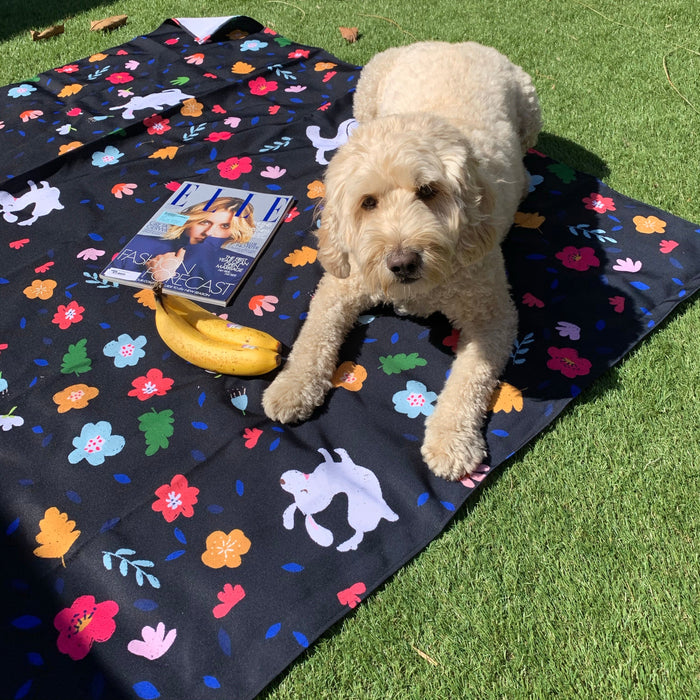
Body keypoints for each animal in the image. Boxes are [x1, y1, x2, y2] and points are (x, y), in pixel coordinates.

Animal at [262, 42, 540, 482]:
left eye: (428, 191)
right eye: (367, 202)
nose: (403, 261)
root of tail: (451, 43)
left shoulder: (493, 314)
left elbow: (470, 377)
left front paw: (451, 440)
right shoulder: (343, 284)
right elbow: (314, 335)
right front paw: (291, 387)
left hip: (529, 106)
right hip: (367, 90)